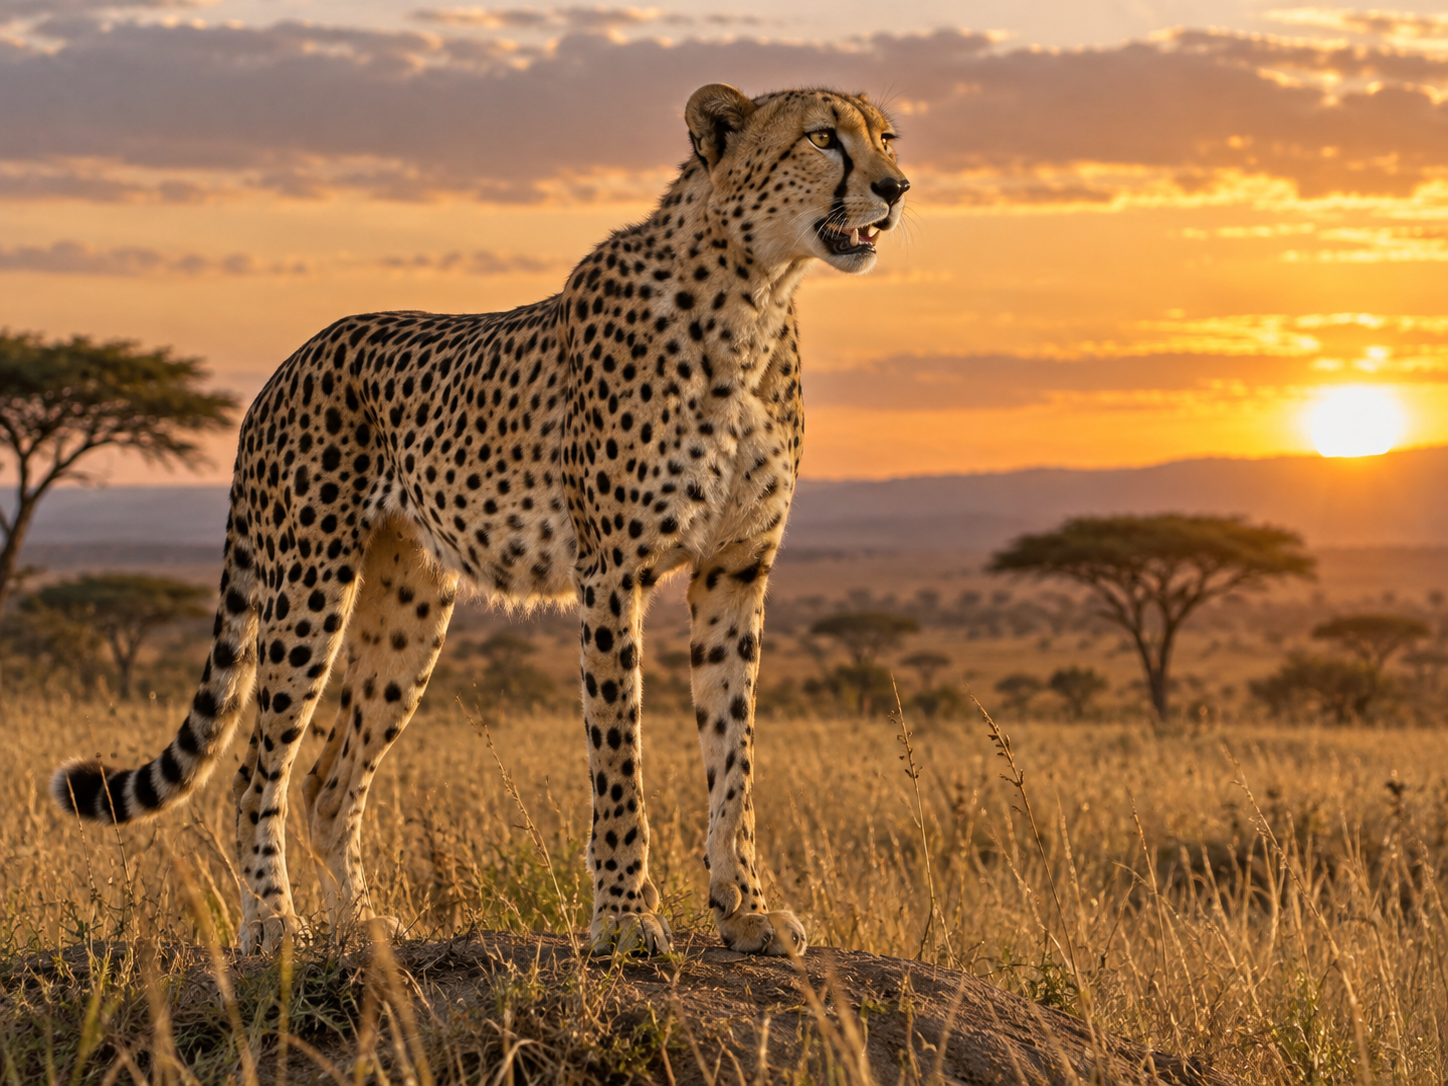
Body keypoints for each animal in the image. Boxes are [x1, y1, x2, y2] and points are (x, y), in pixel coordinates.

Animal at [50, 83, 910, 958]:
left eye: (886, 136)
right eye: (821, 138)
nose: (897, 189)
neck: (753, 294)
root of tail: (290, 362)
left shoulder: (733, 571)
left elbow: (734, 753)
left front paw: (744, 910)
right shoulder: (612, 574)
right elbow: (618, 755)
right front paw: (625, 917)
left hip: (410, 609)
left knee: (327, 782)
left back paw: (358, 923)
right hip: (310, 586)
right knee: (258, 771)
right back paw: (274, 923)